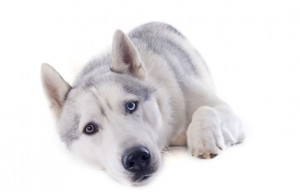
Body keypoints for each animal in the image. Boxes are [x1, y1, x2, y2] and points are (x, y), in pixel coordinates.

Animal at [41, 22, 244, 184]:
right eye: (89, 128)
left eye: (131, 106)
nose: (137, 158)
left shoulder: (228, 114)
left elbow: (207, 109)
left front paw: (203, 138)